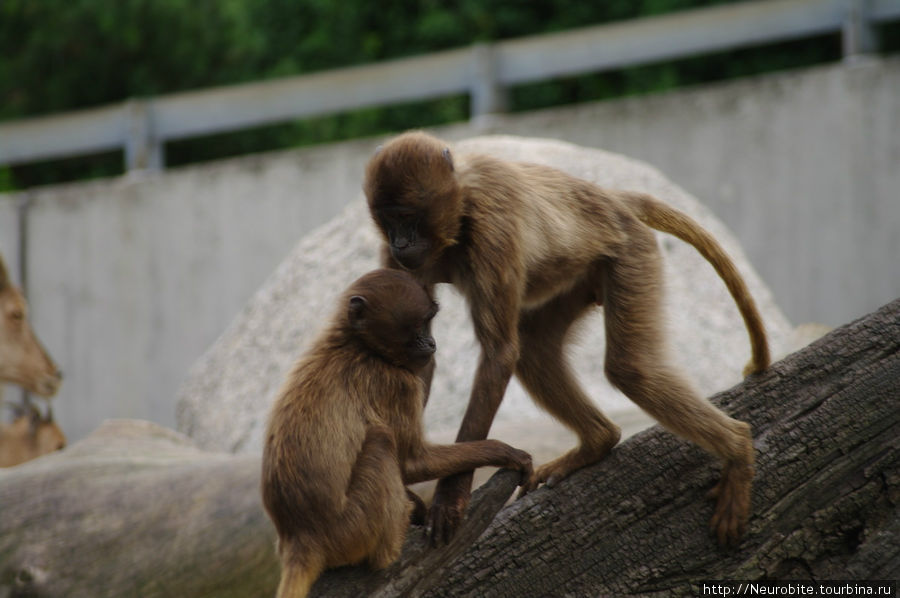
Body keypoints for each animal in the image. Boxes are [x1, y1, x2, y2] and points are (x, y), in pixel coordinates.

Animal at [260, 272, 532, 598]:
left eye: (428, 324)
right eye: (419, 326)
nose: (432, 342)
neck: (357, 345)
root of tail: (300, 536)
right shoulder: (398, 384)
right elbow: (413, 463)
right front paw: (503, 451)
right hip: (352, 529)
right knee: (381, 440)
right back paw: (391, 549)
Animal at [362, 132, 768, 548]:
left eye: (407, 217)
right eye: (389, 219)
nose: (400, 242)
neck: (460, 210)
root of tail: (612, 199)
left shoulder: (495, 225)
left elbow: (499, 353)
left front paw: (450, 496)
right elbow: (420, 352)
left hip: (629, 251)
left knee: (629, 370)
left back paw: (737, 450)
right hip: (582, 275)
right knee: (535, 351)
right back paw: (598, 441)